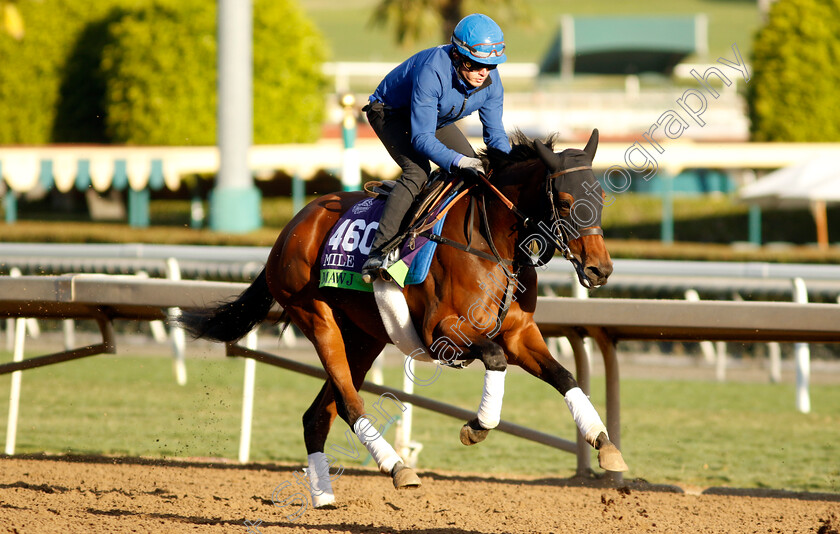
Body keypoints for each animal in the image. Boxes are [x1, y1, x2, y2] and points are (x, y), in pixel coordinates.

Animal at [180, 127, 628, 508]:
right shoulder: (442, 332)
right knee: (350, 404)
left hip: (365, 337)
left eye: (600, 198)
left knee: (319, 414)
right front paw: (476, 426)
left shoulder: (519, 333)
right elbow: (495, 359)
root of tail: (293, 225)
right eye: (566, 202)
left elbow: (565, 376)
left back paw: (323, 496)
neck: (492, 244)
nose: (600, 270)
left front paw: (605, 444)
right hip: (317, 319)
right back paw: (397, 468)